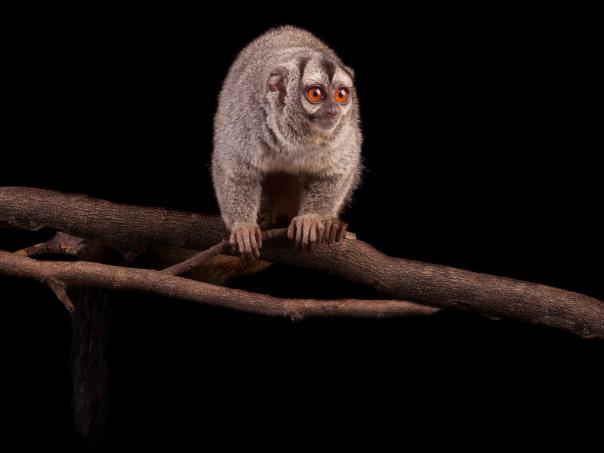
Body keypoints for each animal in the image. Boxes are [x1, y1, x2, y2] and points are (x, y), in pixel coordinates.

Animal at [212, 26, 363, 260]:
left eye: (341, 95)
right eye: (315, 94)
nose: (333, 111)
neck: (297, 135)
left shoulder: (344, 131)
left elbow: (337, 169)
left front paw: (311, 220)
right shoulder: (246, 122)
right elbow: (235, 169)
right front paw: (243, 227)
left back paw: (332, 226)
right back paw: (265, 218)